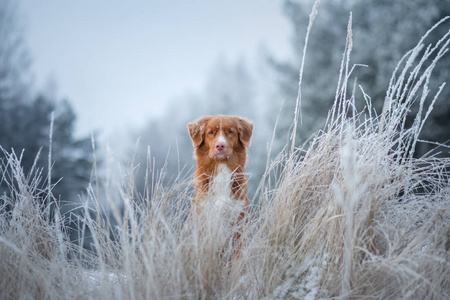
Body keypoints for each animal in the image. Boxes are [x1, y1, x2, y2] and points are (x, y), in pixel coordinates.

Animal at [187, 115, 253, 258]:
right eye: (210, 132)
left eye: (230, 131)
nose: (220, 145)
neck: (222, 169)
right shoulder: (204, 220)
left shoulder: (239, 221)